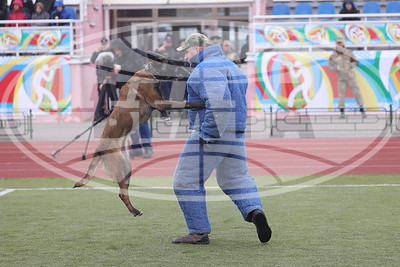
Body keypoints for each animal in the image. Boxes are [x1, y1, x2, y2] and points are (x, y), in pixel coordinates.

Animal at [73, 68, 203, 217]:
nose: (189, 72)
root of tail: (99, 149)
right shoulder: (161, 101)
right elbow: (186, 103)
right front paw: (202, 103)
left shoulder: (159, 103)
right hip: (121, 167)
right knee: (122, 194)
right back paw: (135, 211)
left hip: (127, 167)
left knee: (122, 192)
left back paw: (134, 211)